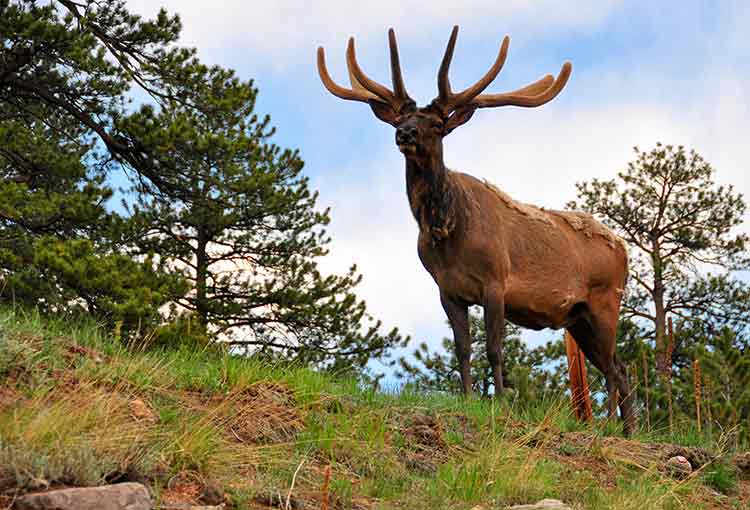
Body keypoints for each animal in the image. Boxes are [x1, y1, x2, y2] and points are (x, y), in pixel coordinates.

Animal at [318, 26, 636, 434]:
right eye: (398, 119)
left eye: (437, 125)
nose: (405, 133)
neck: (447, 233)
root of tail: (624, 249)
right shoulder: (448, 290)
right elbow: (463, 348)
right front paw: (469, 399)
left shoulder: (496, 281)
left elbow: (495, 348)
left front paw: (500, 403)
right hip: (578, 316)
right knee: (621, 368)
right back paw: (628, 430)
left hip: (605, 301)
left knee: (613, 369)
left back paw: (609, 424)